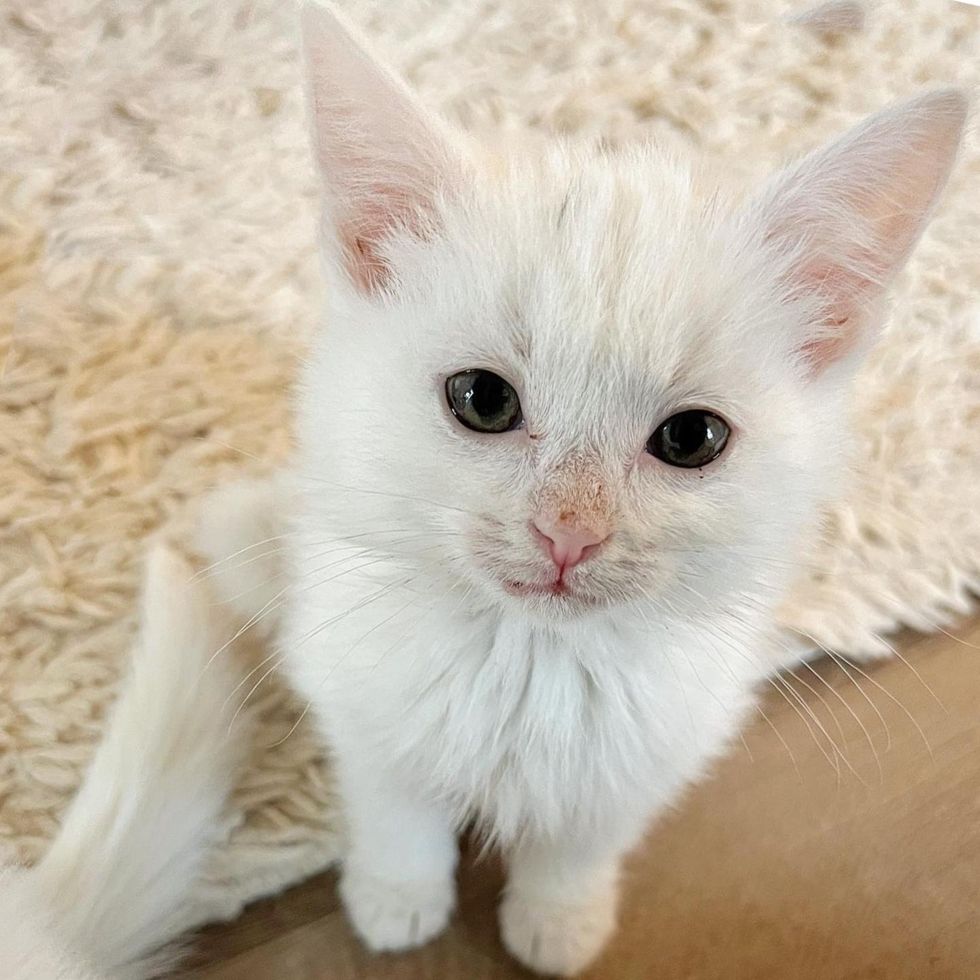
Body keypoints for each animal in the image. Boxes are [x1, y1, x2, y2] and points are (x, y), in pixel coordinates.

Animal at [197, 3, 964, 972]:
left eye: (691, 438)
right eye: (482, 399)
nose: (569, 530)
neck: (533, 658)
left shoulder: (655, 743)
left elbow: (584, 835)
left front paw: (560, 918)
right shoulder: (365, 697)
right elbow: (397, 804)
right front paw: (396, 898)